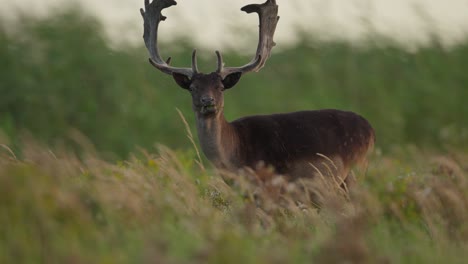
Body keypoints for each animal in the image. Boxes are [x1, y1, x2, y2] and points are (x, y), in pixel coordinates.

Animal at [141, 0, 374, 188]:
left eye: (220, 87)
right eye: (193, 88)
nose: (208, 101)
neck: (234, 159)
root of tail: (371, 131)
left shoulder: (270, 185)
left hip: (349, 173)